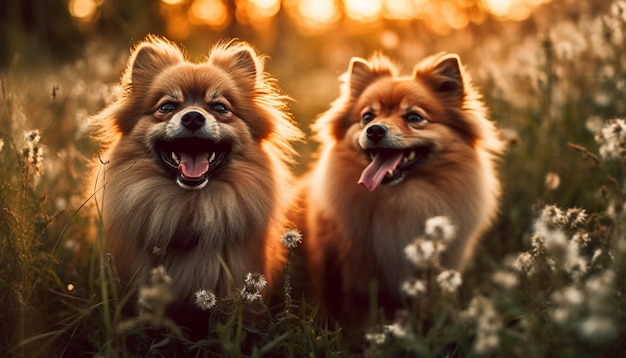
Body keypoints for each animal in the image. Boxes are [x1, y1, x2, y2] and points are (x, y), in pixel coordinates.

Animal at [298, 52, 502, 328]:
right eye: (367, 117)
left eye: (414, 117)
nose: (374, 130)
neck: (400, 201)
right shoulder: (355, 274)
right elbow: (358, 313)